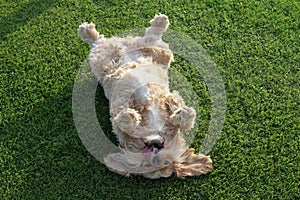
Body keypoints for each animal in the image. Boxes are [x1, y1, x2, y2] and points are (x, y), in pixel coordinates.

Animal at [78, 14, 213, 180]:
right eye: (150, 163)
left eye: (162, 161)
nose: (157, 144)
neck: (153, 130)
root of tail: (126, 47)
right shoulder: (118, 117)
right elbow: (123, 122)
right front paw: (131, 117)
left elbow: (179, 112)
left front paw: (182, 113)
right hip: (103, 61)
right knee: (99, 42)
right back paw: (87, 31)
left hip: (156, 52)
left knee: (150, 37)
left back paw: (159, 22)